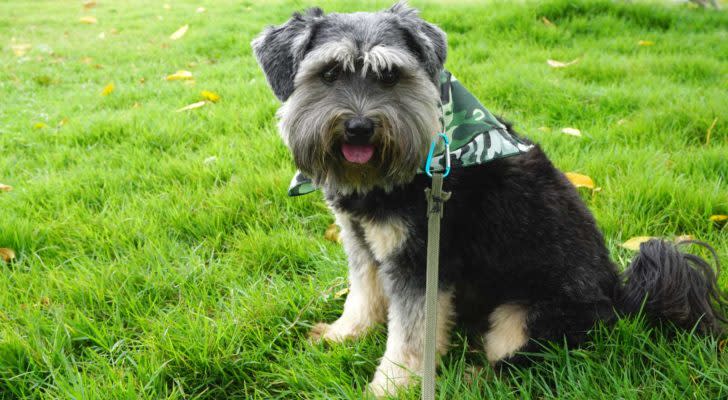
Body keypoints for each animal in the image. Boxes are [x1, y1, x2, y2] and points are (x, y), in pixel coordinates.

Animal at [252, 3, 728, 396]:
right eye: (329, 74)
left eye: (389, 76)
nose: (359, 127)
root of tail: (622, 301)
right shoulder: (361, 241)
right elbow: (363, 295)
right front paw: (343, 335)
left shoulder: (423, 261)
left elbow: (411, 336)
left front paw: (389, 387)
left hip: (522, 317)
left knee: (526, 365)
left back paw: (472, 378)